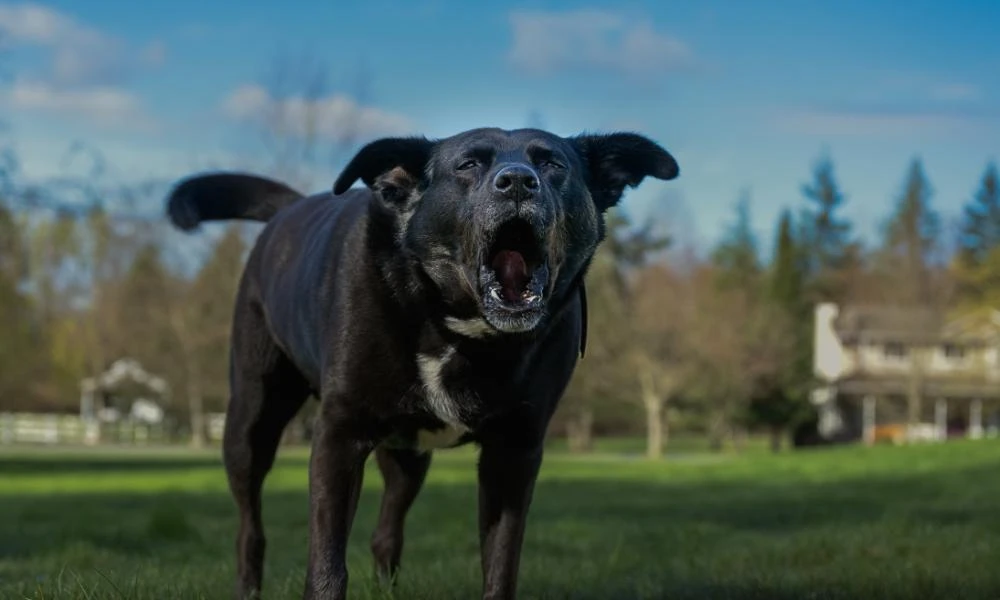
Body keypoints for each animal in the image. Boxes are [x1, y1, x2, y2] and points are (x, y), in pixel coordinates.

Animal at [166, 124, 680, 596]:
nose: (518, 181)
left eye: (553, 164)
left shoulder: (515, 452)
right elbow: (327, 564)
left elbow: (500, 564)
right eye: (468, 165)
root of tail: (291, 209)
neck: (459, 329)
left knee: (385, 534)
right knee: (250, 529)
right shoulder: (338, 436)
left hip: (407, 457)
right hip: (251, 421)